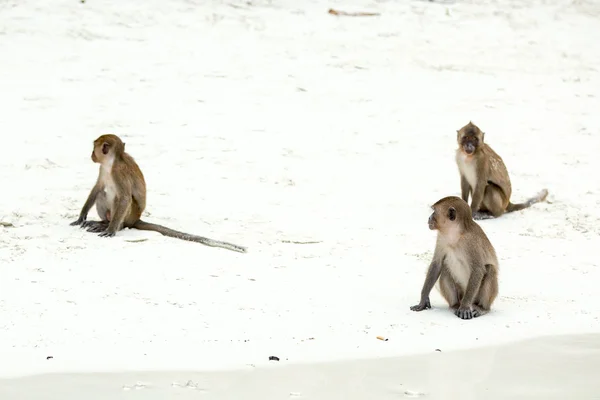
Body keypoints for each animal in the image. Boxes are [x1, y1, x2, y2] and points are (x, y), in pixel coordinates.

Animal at [69, 134, 247, 253]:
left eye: (94, 149)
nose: (92, 155)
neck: (112, 162)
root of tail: (136, 219)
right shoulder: (103, 169)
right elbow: (97, 188)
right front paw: (81, 217)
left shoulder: (119, 172)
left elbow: (125, 197)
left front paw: (111, 230)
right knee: (102, 193)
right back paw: (103, 222)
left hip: (129, 215)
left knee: (121, 201)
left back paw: (112, 225)